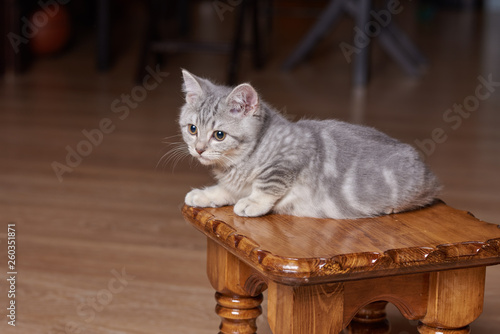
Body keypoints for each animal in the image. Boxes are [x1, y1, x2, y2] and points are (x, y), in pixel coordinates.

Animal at [180, 69, 442, 218]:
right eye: (192, 129)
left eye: (219, 135)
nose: (199, 149)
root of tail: (429, 173)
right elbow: (227, 190)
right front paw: (205, 194)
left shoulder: (291, 158)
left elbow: (267, 185)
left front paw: (253, 202)